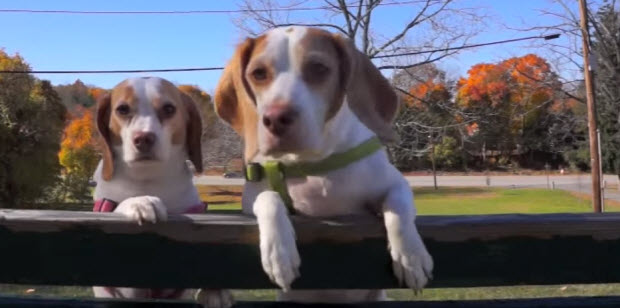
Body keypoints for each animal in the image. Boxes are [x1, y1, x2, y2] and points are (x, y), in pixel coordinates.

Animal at [93, 77, 234, 308]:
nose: (143, 138)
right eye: (122, 109)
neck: (150, 178)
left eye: (169, 108)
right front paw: (141, 202)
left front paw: (216, 289)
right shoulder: (126, 289)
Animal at [216, 27, 434, 304]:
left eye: (319, 68)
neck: (313, 166)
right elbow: (268, 198)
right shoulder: (250, 199)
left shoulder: (395, 184)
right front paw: (279, 252)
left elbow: (398, 207)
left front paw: (410, 257)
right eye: (258, 73)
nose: (275, 118)